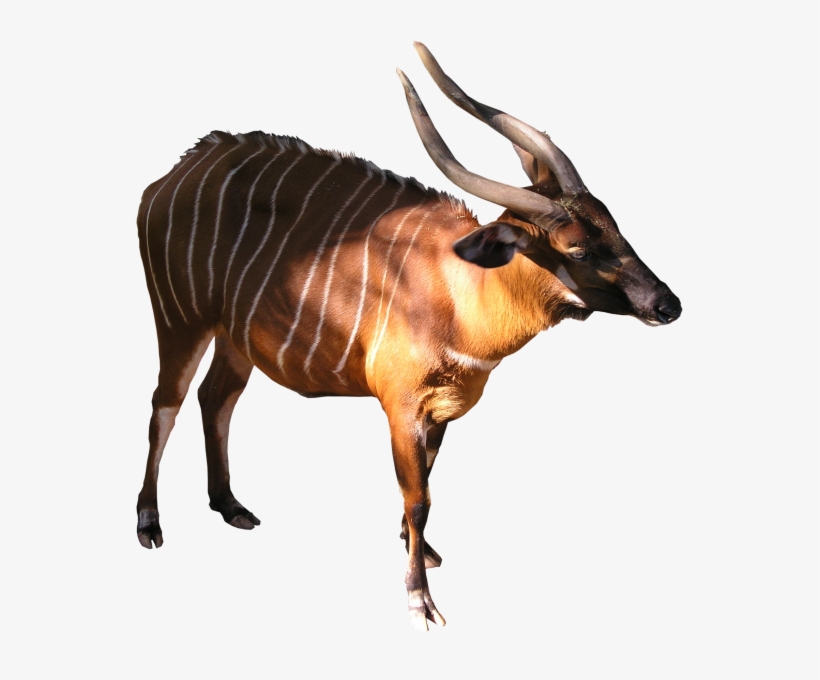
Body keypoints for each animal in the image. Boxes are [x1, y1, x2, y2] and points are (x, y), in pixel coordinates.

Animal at [136, 43, 681, 630]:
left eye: (616, 225)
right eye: (578, 248)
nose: (668, 305)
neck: (458, 288)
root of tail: (171, 175)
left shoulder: (440, 411)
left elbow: (423, 490)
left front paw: (421, 552)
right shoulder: (401, 406)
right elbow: (417, 497)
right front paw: (420, 600)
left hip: (234, 339)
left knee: (216, 398)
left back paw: (231, 506)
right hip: (180, 319)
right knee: (166, 403)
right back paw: (149, 523)